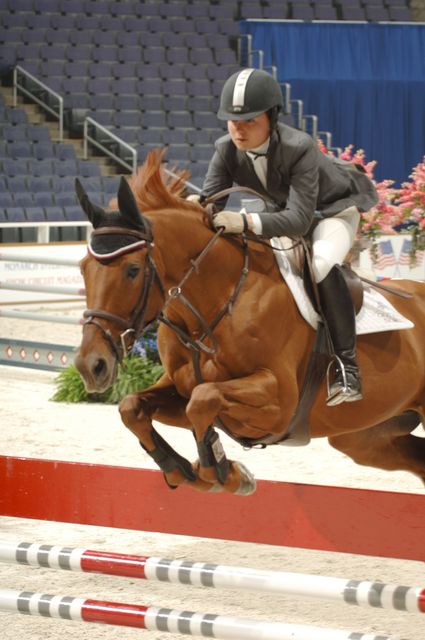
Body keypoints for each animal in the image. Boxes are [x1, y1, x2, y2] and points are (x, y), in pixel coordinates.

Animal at [74, 150, 422, 496]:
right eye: (82, 268)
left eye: (132, 270)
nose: (91, 366)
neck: (214, 305)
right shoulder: (179, 387)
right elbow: (132, 406)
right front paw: (184, 470)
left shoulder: (279, 403)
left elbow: (203, 400)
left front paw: (223, 473)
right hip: (365, 434)